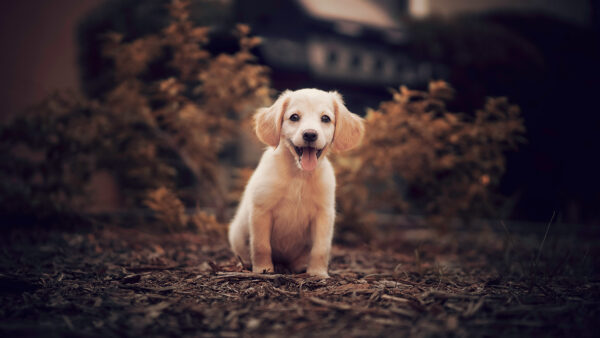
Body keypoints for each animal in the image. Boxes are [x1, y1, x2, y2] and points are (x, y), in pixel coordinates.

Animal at [227, 89, 364, 278]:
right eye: (294, 117)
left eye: (325, 118)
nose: (310, 134)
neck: (299, 175)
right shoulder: (261, 210)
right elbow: (261, 245)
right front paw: (263, 269)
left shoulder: (324, 214)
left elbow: (320, 248)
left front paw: (317, 273)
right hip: (237, 232)